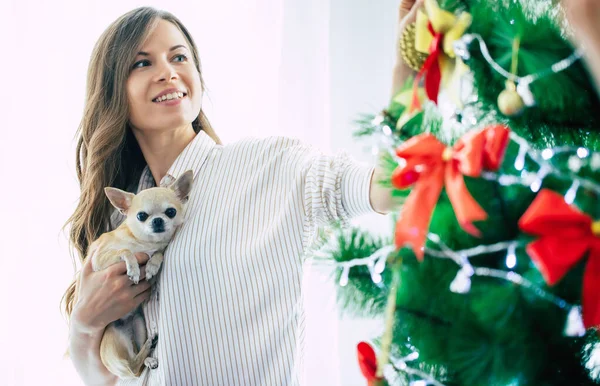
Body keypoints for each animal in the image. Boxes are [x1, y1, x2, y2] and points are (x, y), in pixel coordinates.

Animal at [89, 170, 193, 378]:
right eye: (141, 216)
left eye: (171, 212)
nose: (158, 220)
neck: (145, 243)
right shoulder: (99, 259)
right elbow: (126, 251)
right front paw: (134, 269)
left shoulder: (158, 249)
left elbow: (159, 253)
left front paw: (152, 266)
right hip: (116, 339)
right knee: (131, 367)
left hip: (138, 326)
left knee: (136, 368)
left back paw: (149, 352)